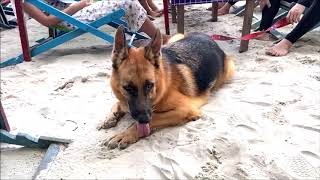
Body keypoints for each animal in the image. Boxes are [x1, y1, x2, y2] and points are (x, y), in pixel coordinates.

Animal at [97, 25, 235, 149]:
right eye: (128, 88)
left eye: (150, 85)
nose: (144, 119)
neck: (162, 86)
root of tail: (208, 37)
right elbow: (118, 103)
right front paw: (110, 116)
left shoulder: (186, 109)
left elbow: (154, 118)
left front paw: (126, 134)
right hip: (174, 39)